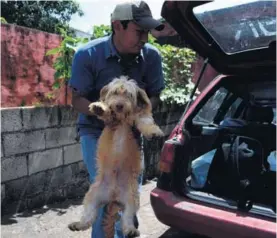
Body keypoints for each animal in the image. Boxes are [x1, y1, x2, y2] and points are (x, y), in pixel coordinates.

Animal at [67, 76, 163, 238]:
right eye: (114, 93)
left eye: (129, 95)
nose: (119, 105)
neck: (122, 119)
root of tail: (113, 195)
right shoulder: (111, 119)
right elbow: (107, 113)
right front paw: (100, 107)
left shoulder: (139, 116)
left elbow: (145, 121)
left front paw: (154, 132)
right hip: (92, 196)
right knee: (89, 216)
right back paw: (78, 224)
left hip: (132, 199)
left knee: (127, 218)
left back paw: (130, 230)